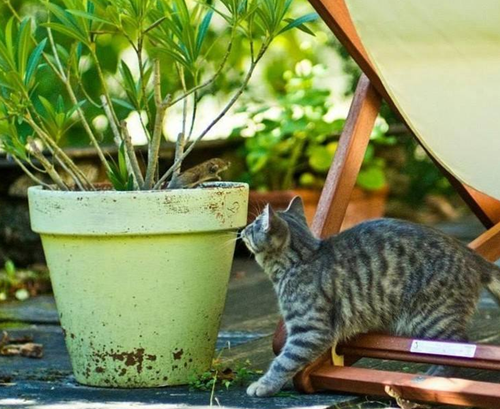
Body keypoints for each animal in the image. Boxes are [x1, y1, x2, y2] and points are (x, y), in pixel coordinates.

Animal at [242, 197, 500, 396]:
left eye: (254, 224)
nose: (243, 229)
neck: (300, 260)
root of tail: (469, 254)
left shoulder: (310, 330)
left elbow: (285, 360)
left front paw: (265, 385)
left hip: (432, 319)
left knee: (459, 349)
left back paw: (431, 380)